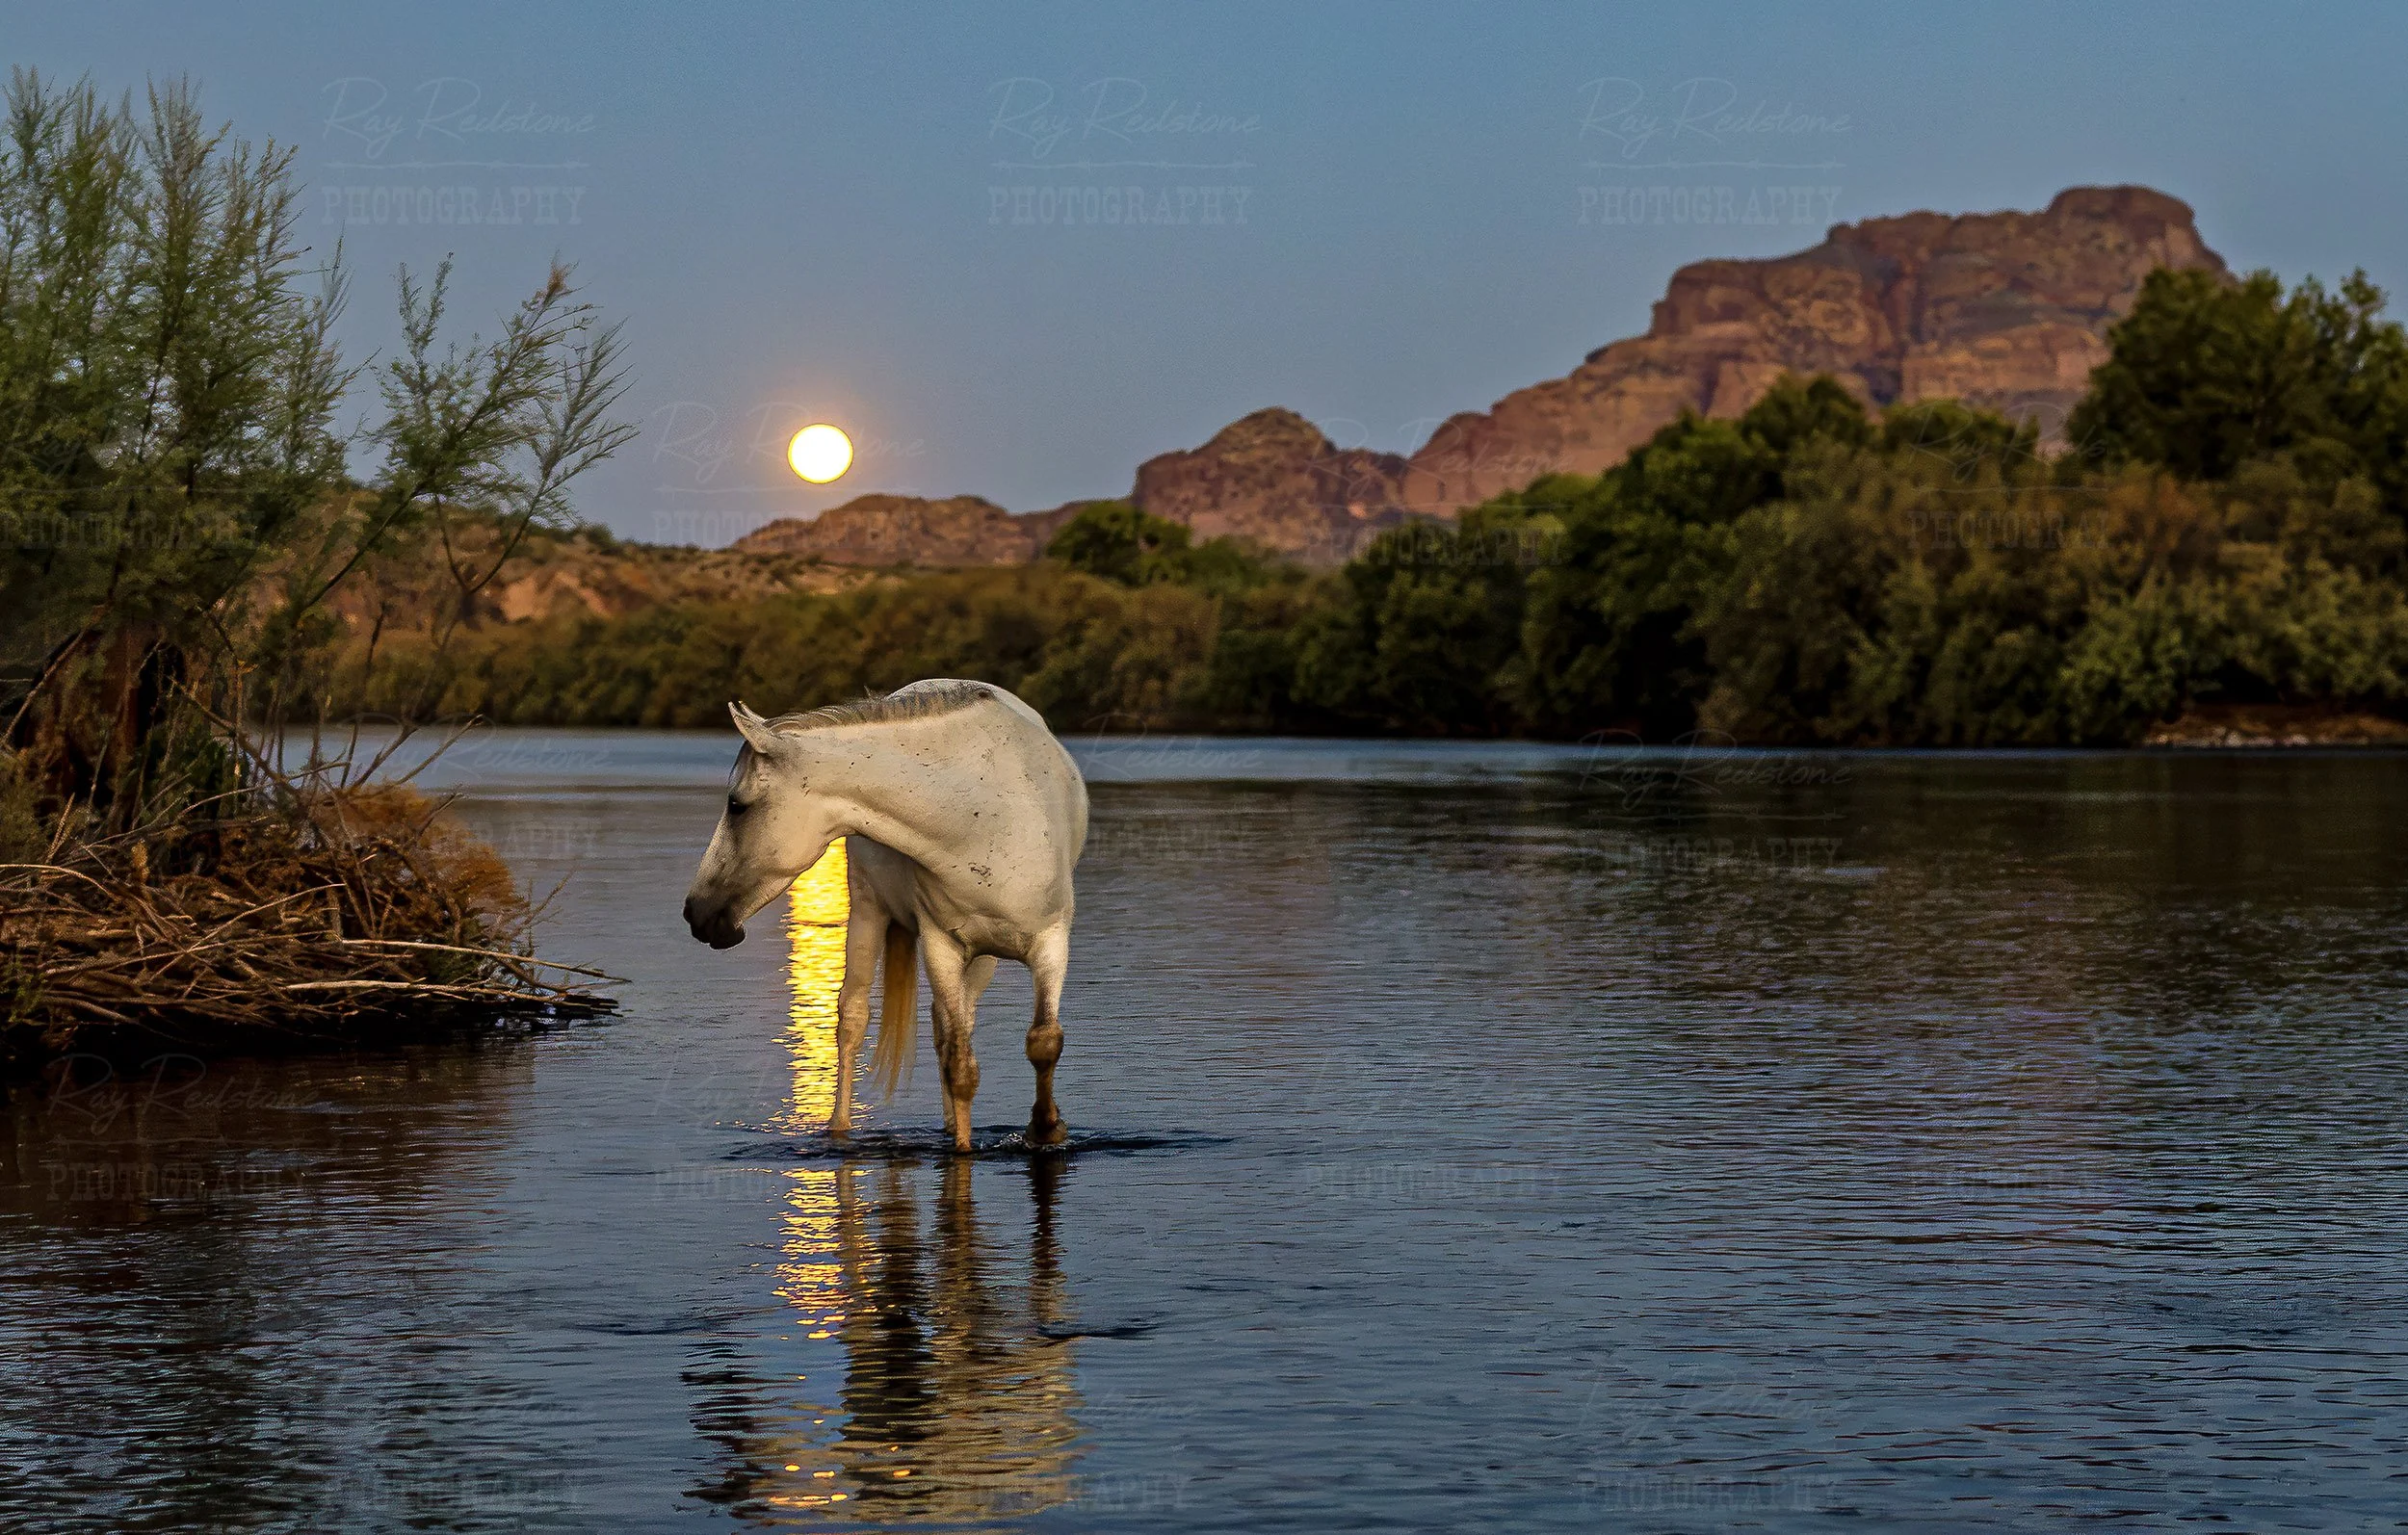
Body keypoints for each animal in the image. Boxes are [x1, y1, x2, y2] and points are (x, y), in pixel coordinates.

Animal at [681, 680, 1089, 1151]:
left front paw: (1046, 1128)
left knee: (946, 1025)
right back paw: (840, 1129)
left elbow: (1043, 1041)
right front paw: (966, 1149)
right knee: (854, 1018)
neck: (981, 821)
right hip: (869, 912)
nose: (696, 912)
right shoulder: (941, 944)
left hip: (985, 956)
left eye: (737, 805)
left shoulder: (1051, 943)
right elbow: (961, 1066)